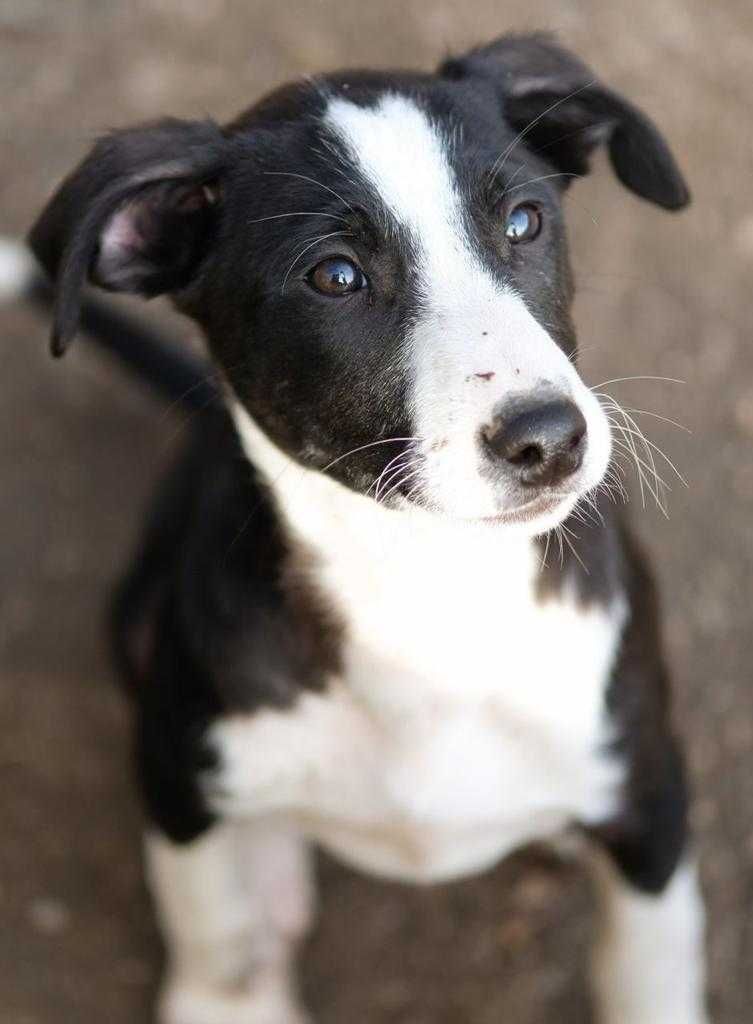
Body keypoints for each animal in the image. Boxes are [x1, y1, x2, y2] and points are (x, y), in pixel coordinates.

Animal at [23, 32, 704, 1024]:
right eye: (335, 276)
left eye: (525, 221)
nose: (548, 438)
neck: (421, 587)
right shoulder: (175, 778)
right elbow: (215, 930)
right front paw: (227, 989)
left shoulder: (652, 794)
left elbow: (647, 967)